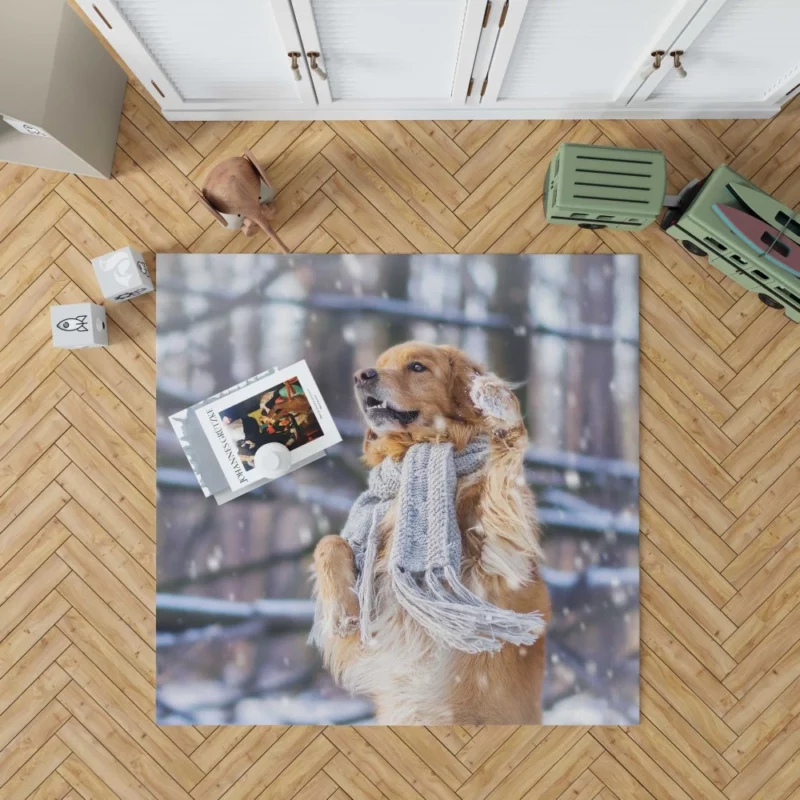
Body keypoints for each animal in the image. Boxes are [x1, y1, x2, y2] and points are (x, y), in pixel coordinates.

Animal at [312, 340, 552, 720]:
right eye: (379, 363)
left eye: (417, 367)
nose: (361, 375)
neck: (419, 447)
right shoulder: (374, 626)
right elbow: (329, 541)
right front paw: (341, 609)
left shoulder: (497, 558)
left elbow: (501, 474)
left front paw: (497, 402)